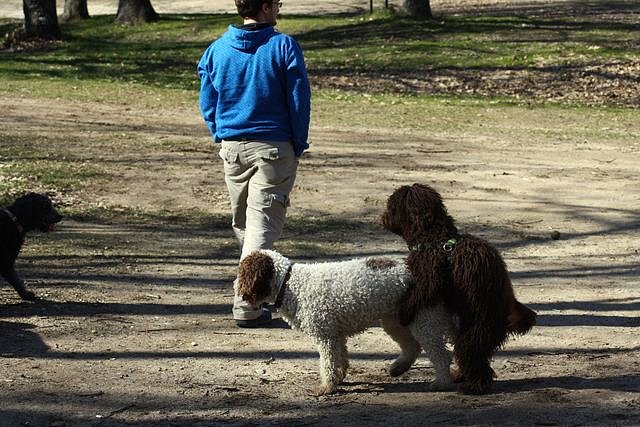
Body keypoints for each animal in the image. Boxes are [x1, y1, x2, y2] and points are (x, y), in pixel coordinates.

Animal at [236, 249, 456, 396]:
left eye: (243, 273)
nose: (236, 288)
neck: (290, 283)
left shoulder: (325, 335)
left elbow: (328, 363)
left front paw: (326, 387)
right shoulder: (336, 335)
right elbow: (340, 360)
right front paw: (339, 380)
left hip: (423, 319)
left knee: (441, 355)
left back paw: (442, 383)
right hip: (396, 320)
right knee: (412, 346)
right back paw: (398, 368)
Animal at [382, 183, 536, 394]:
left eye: (391, 207)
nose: (383, 217)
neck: (434, 237)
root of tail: (507, 313)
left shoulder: (429, 276)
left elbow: (419, 294)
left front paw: (404, 312)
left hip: (474, 333)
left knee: (474, 359)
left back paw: (473, 387)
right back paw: (461, 376)